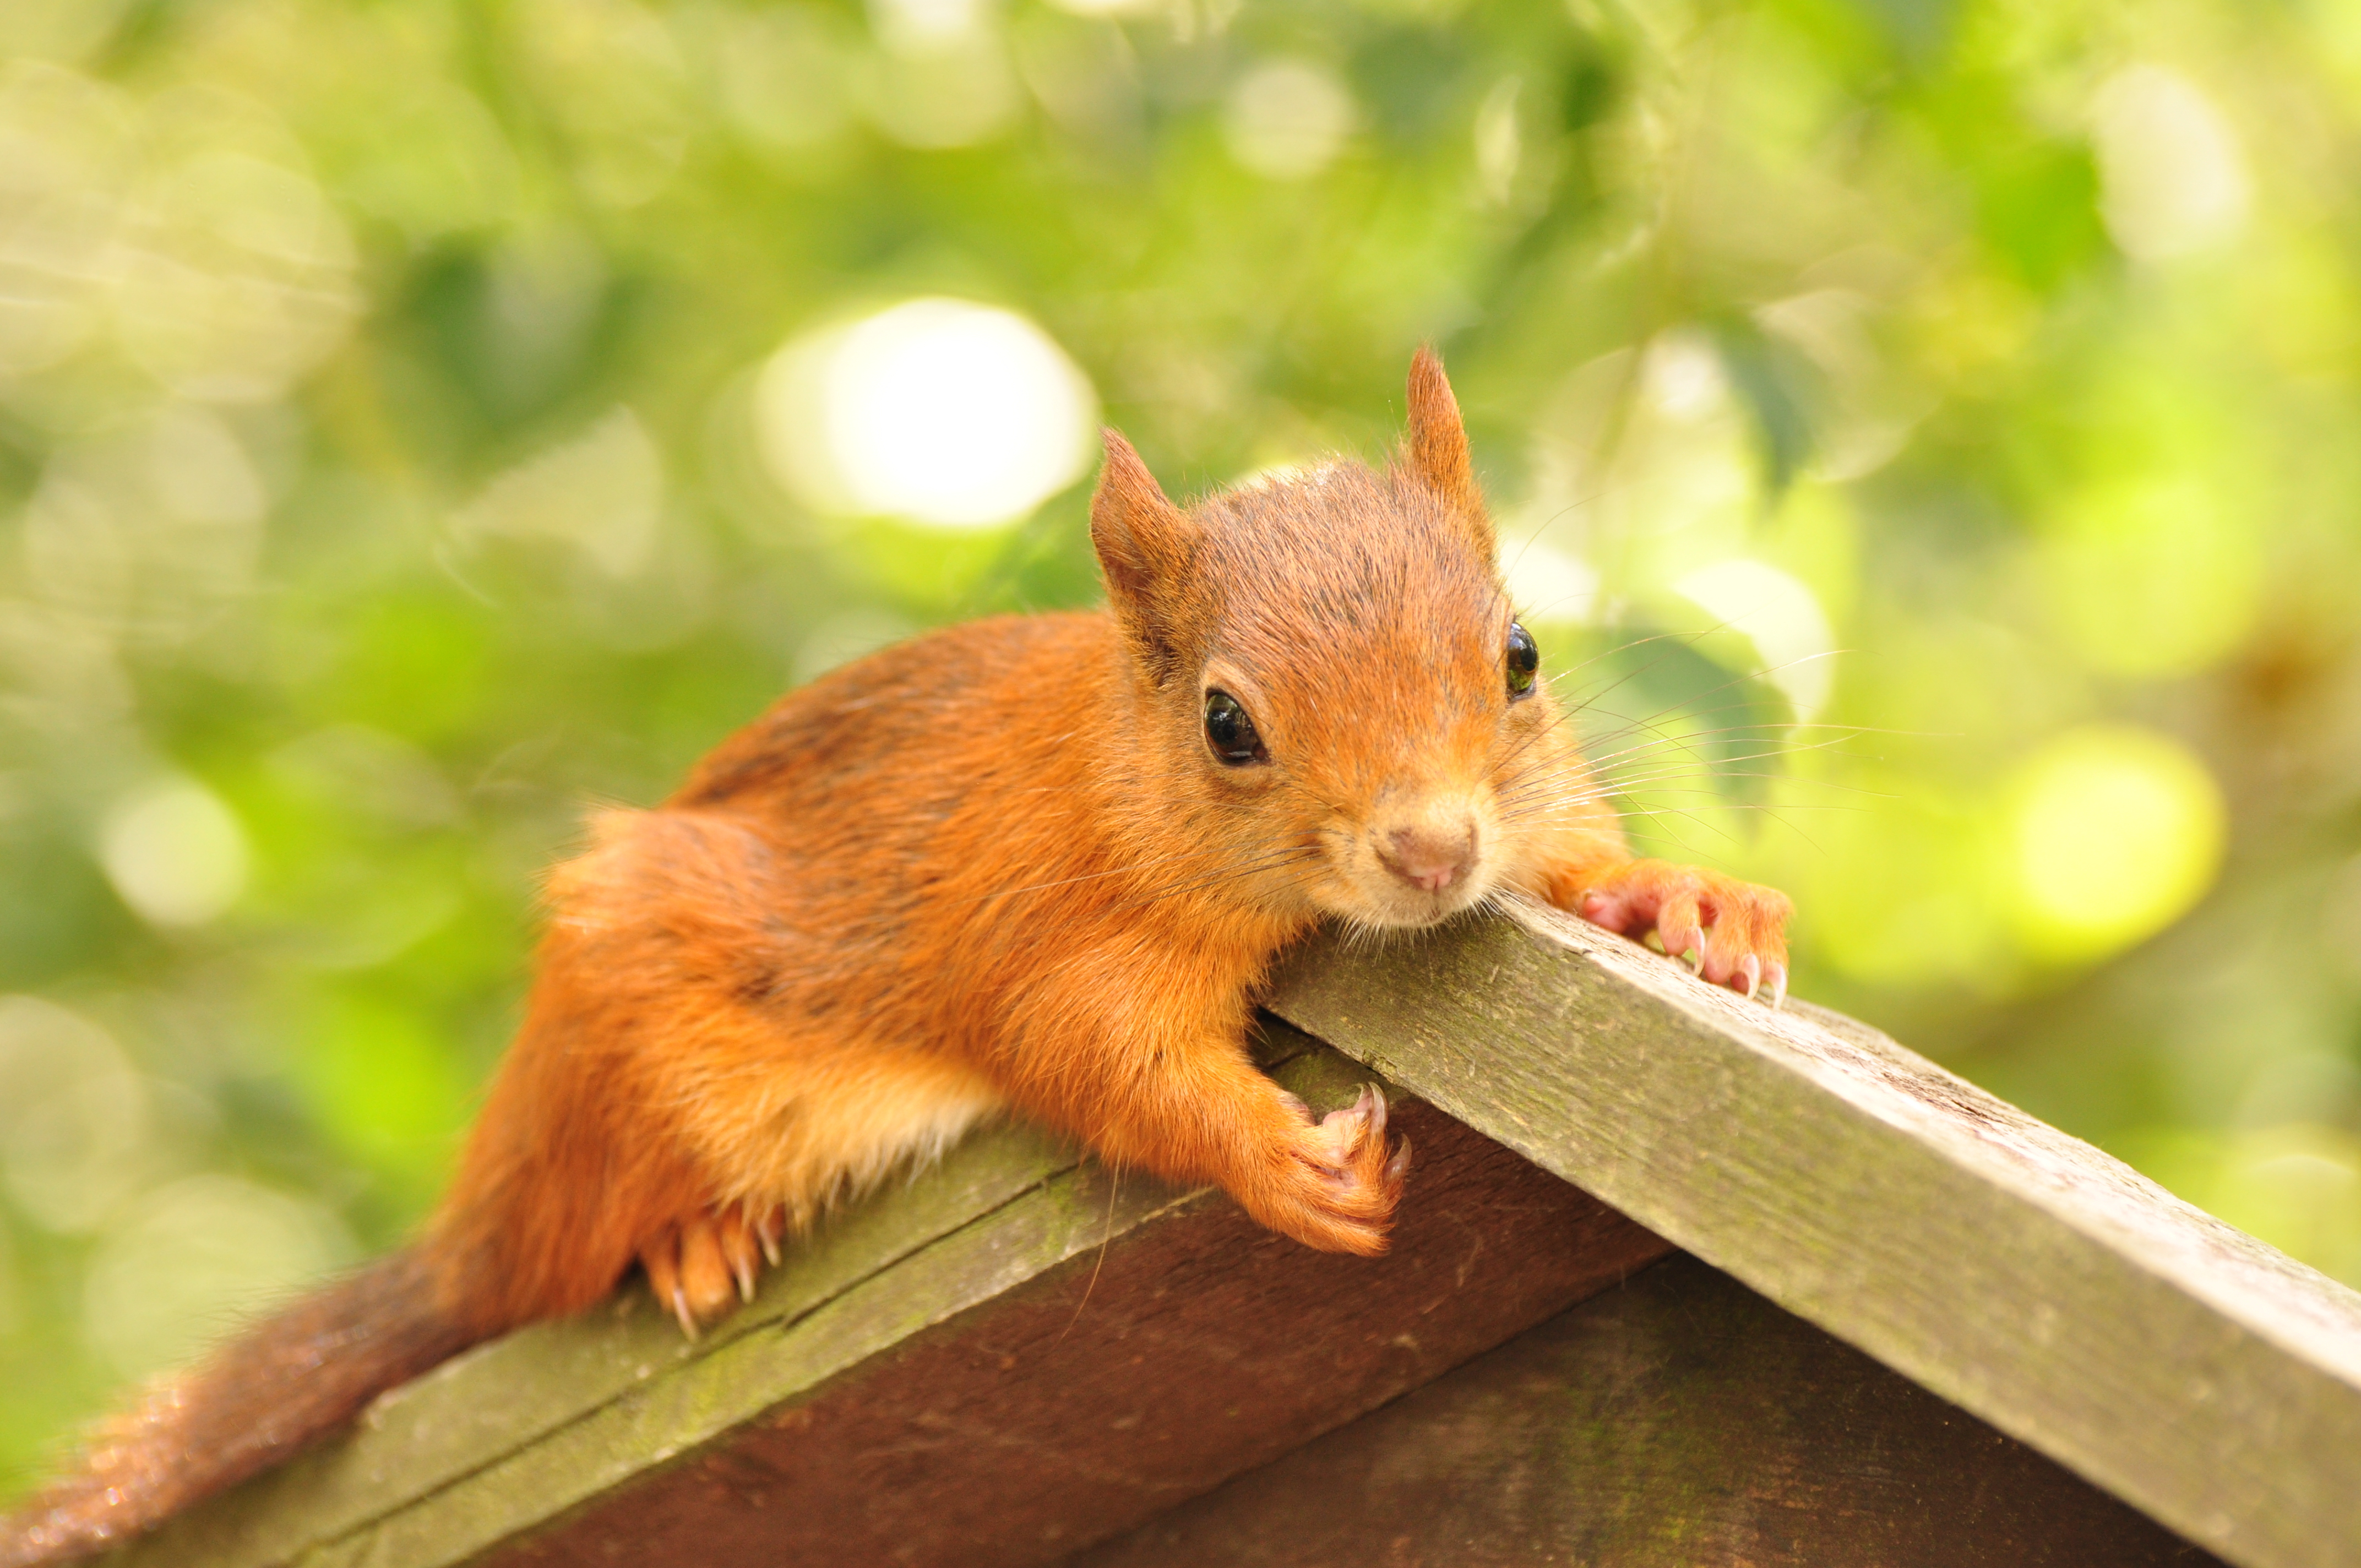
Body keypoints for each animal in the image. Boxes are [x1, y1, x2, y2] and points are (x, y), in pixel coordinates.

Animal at [4, 349, 1785, 1558]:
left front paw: (1693, 902)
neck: (1115, 771)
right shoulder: (1051, 929)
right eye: (1227, 725)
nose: (1428, 851)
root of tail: (478, 1218)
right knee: (560, 1263)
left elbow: (1576, 866)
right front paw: (1277, 1159)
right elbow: (1098, 1062)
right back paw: (691, 1240)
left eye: (1520, 653)